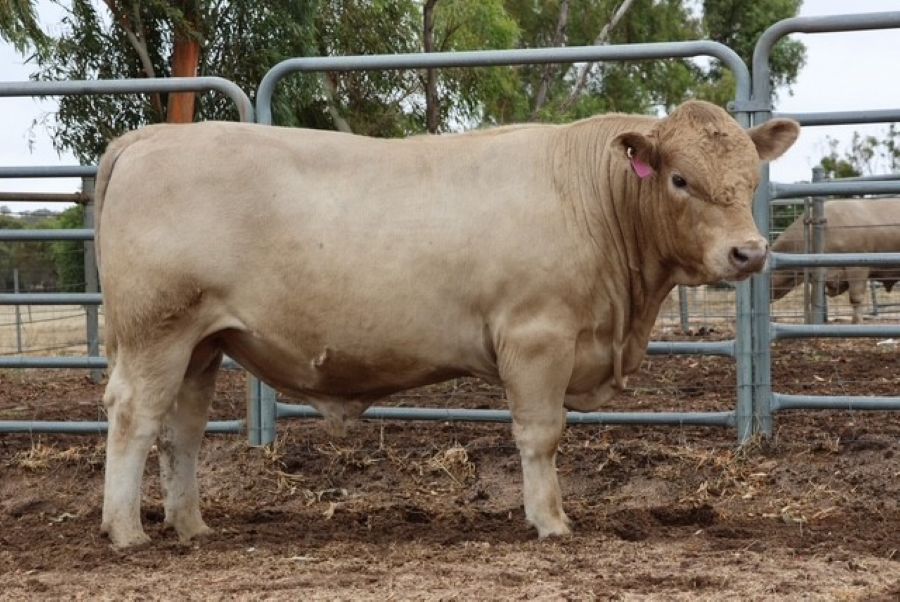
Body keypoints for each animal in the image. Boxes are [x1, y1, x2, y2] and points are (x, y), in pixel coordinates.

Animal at [94, 100, 798, 549]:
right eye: (680, 179)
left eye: (750, 179)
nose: (749, 253)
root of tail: (149, 137)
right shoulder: (536, 337)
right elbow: (541, 434)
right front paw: (551, 522)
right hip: (158, 330)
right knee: (134, 415)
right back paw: (126, 531)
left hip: (203, 342)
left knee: (181, 430)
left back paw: (191, 526)